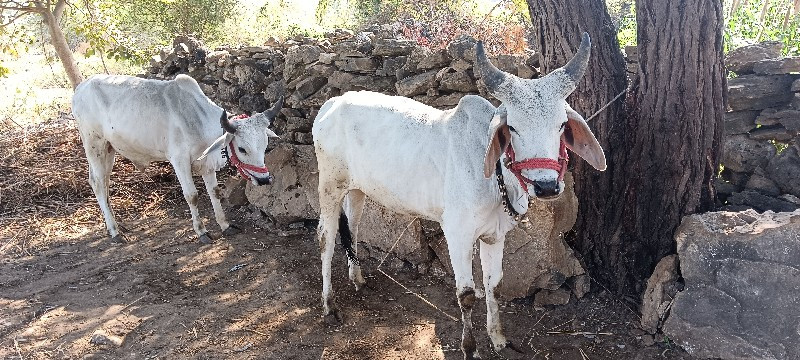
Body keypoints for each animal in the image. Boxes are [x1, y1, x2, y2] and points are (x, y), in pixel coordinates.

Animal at [72, 74, 282, 243]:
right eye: (242, 149)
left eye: (264, 145)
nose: (264, 179)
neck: (198, 120)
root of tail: (80, 88)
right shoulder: (179, 161)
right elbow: (192, 196)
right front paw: (202, 232)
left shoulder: (206, 164)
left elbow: (214, 192)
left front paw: (225, 225)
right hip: (94, 144)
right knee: (98, 183)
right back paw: (115, 232)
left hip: (109, 149)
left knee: (103, 182)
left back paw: (114, 225)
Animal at [316, 33, 604, 358]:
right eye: (512, 127)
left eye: (561, 125)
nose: (546, 186)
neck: (495, 180)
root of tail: (331, 103)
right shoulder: (457, 234)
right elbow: (466, 295)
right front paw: (470, 348)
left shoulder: (495, 235)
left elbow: (494, 286)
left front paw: (498, 338)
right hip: (330, 186)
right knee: (326, 237)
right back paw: (329, 304)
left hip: (356, 190)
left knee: (351, 229)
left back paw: (358, 279)